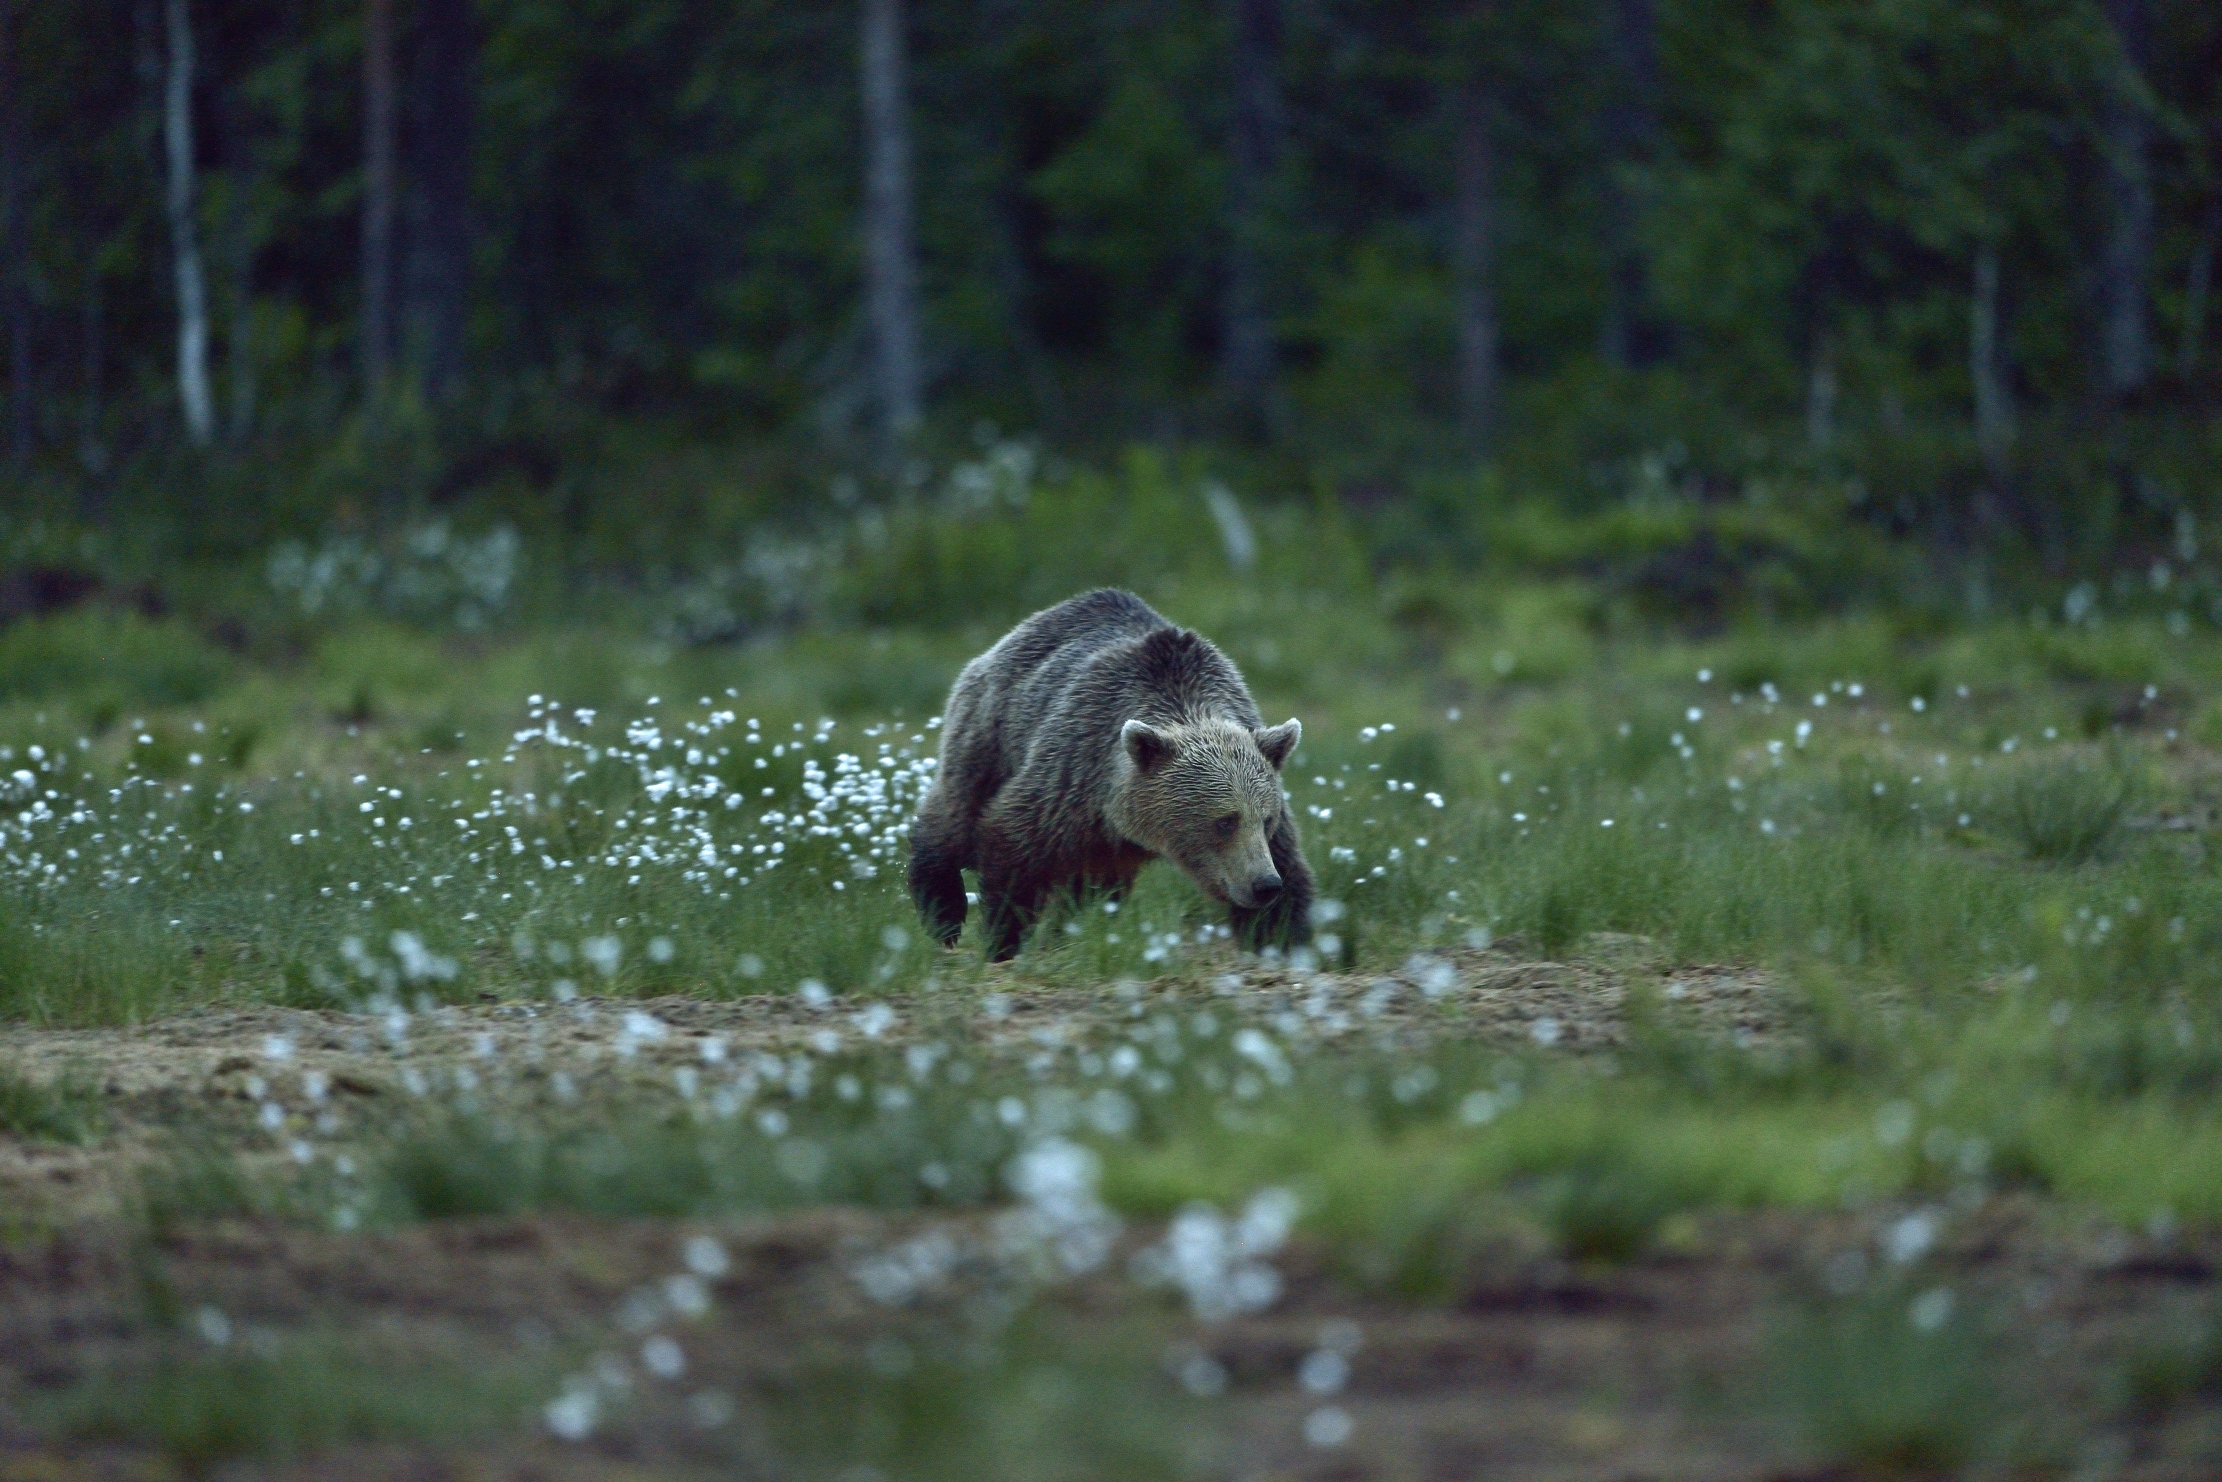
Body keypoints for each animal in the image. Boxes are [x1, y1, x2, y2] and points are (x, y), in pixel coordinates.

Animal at [907, 588, 1314, 961]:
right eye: (1224, 821)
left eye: (1266, 819)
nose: (1264, 885)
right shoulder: (1072, 770)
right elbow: (1011, 841)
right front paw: (1003, 939)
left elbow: (1290, 871)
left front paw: (1281, 938)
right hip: (991, 728)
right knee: (956, 816)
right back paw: (942, 911)